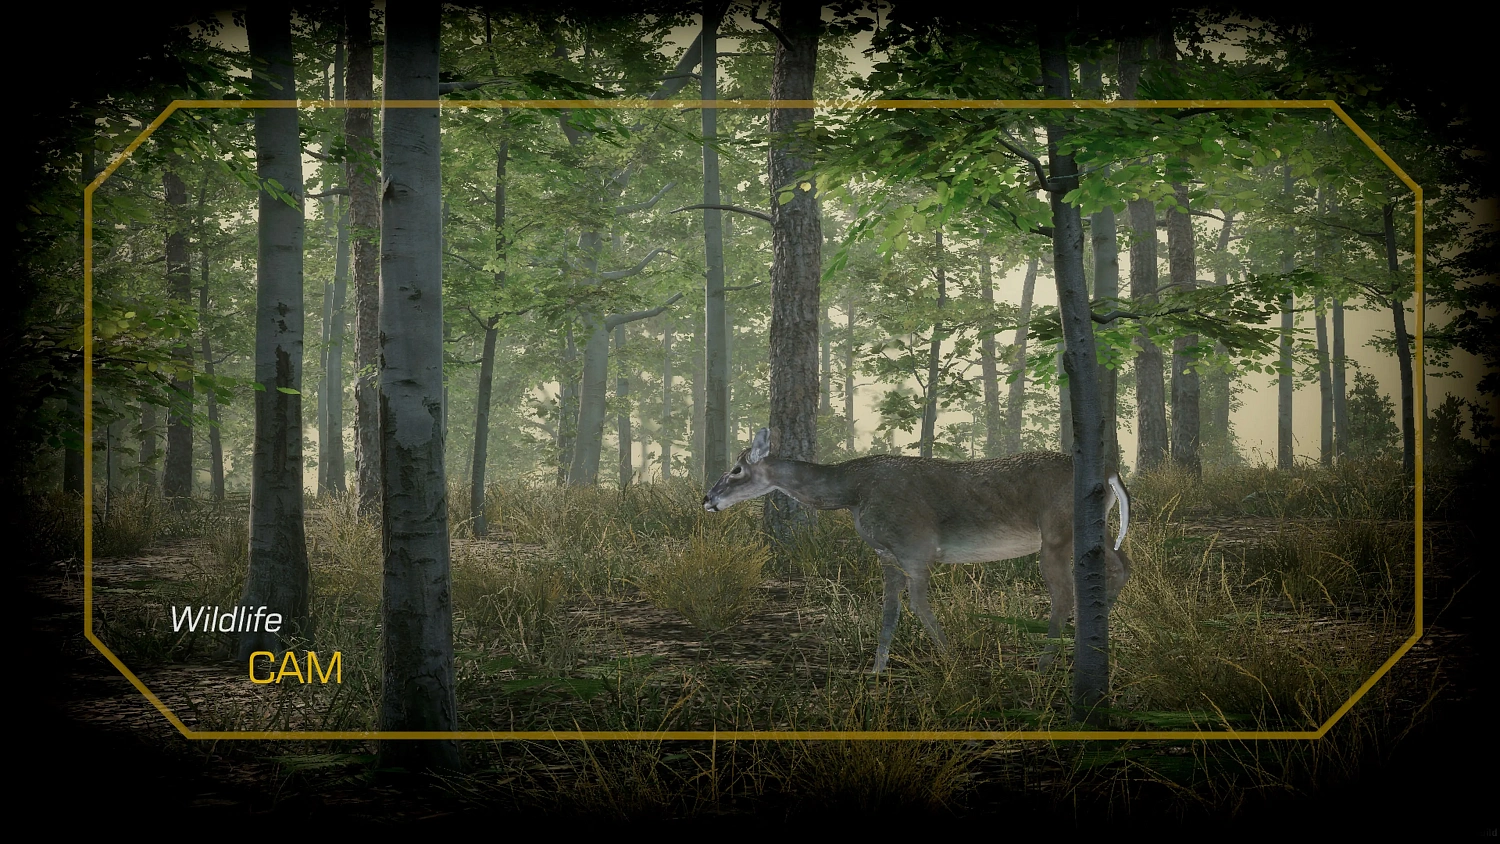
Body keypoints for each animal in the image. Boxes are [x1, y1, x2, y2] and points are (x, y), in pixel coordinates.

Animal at [703, 427, 1132, 674]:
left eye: (736, 470)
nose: (708, 498)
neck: (852, 492)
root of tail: (1111, 473)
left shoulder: (916, 548)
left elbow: (918, 606)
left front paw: (953, 660)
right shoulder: (888, 556)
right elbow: (889, 611)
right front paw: (877, 670)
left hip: (1057, 532)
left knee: (1064, 594)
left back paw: (1045, 663)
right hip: (1092, 531)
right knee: (1122, 565)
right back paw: (1089, 641)